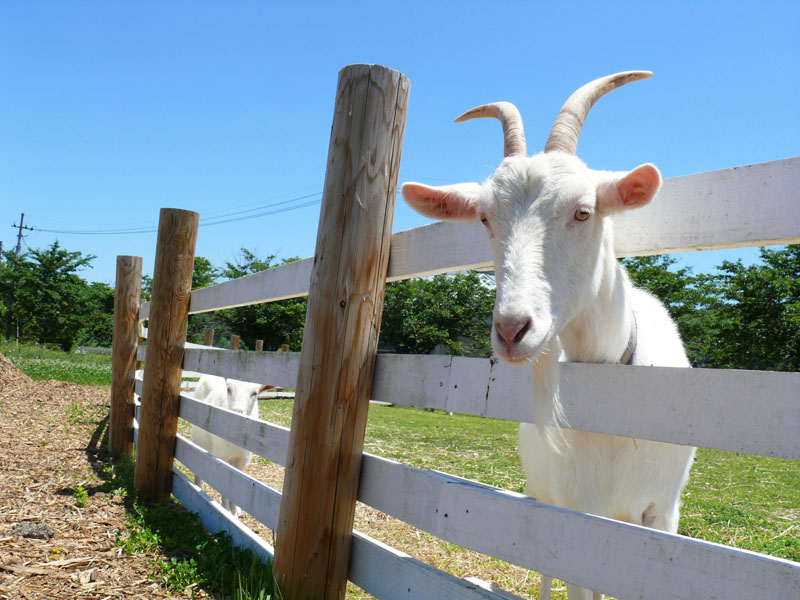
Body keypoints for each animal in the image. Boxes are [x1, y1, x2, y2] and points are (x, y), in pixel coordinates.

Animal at [191, 376, 276, 516]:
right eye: (229, 388)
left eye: (255, 393)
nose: (237, 412)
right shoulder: (223, 457)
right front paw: (226, 509)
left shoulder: (242, 459)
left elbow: (236, 482)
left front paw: (235, 510)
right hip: (198, 441)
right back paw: (198, 486)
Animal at [404, 71, 696, 600]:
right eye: (485, 218)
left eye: (583, 211)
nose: (511, 329)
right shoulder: (574, 518)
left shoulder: (662, 516)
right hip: (543, 500)